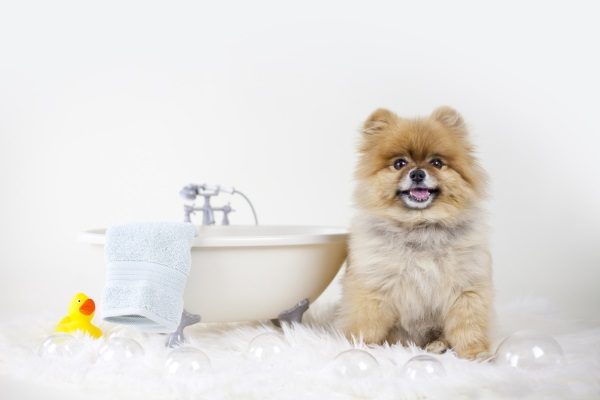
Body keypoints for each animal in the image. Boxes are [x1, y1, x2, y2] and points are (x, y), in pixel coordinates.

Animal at [338, 106, 492, 360]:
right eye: (399, 164)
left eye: (437, 163)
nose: (418, 174)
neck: (420, 227)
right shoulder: (375, 286)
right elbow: (368, 323)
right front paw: (361, 346)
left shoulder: (466, 287)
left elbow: (468, 325)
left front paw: (475, 353)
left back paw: (438, 345)